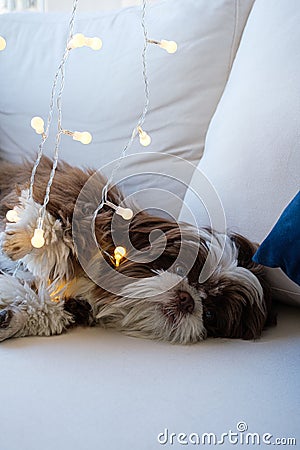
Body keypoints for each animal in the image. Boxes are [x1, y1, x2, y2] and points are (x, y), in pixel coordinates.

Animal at [0, 156, 276, 342]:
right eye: (178, 267)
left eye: (209, 315)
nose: (187, 300)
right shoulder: (77, 195)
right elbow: (52, 219)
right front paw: (23, 240)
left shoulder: (70, 302)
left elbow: (44, 307)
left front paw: (11, 320)